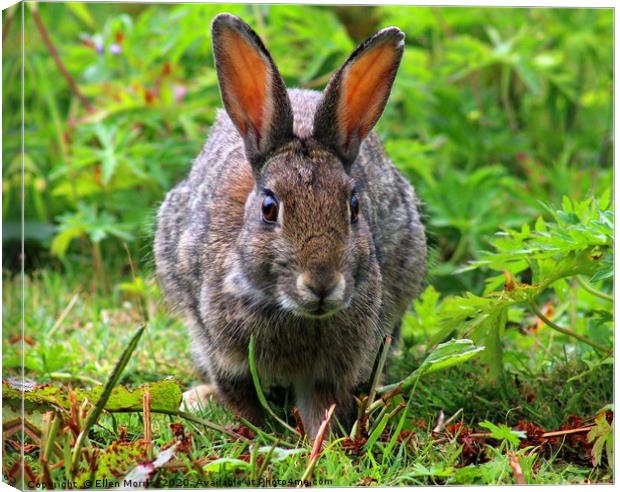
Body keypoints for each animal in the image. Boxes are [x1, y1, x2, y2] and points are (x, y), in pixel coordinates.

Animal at [155, 12, 426, 438]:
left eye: (354, 206)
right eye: (269, 208)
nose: (322, 284)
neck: (291, 311)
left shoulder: (332, 370)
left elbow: (322, 407)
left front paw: (323, 445)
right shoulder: (225, 355)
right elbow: (241, 400)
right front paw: (252, 435)